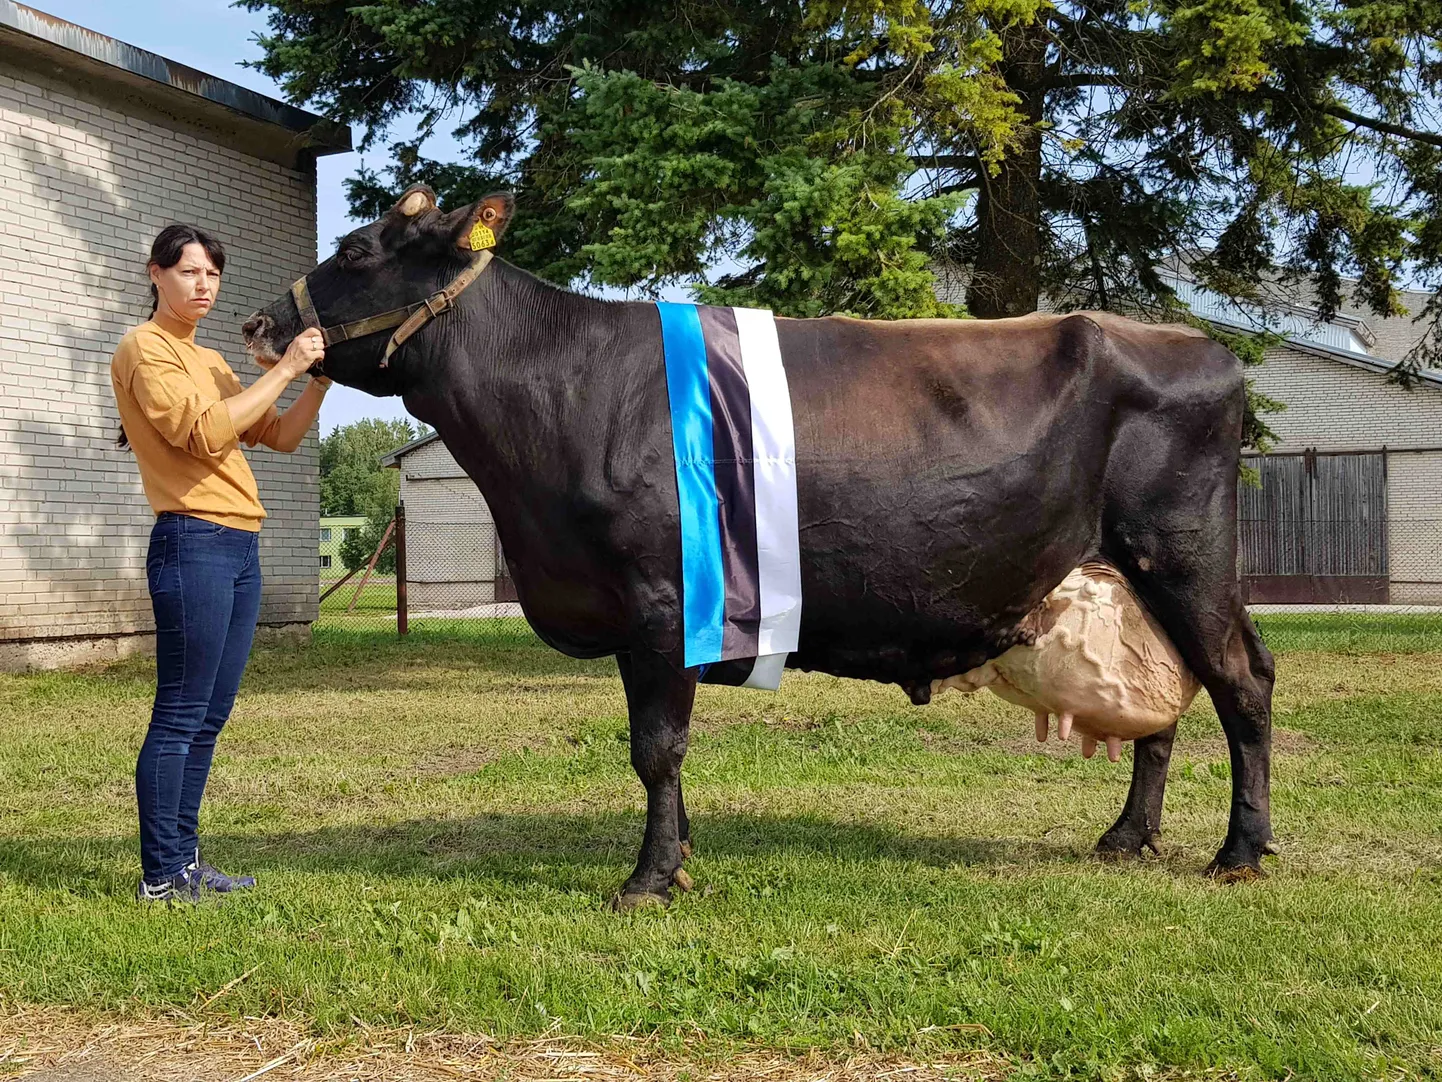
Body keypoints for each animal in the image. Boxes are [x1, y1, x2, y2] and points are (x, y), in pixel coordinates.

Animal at [242, 188, 1280, 917]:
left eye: (357, 249)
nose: (259, 325)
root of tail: (1202, 348)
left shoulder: (660, 604)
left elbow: (655, 747)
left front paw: (649, 878)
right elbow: (664, 752)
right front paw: (681, 854)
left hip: (1183, 551)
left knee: (1241, 682)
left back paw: (1239, 853)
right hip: (1137, 571)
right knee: (1168, 699)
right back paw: (1128, 836)